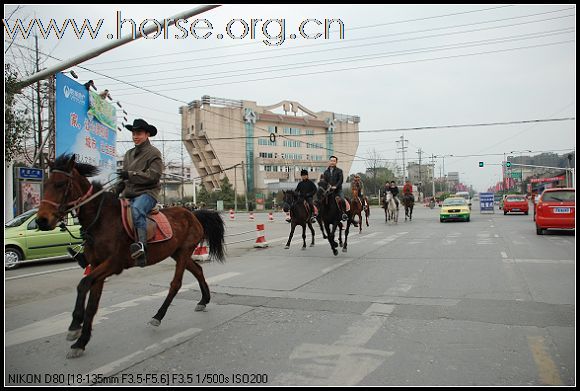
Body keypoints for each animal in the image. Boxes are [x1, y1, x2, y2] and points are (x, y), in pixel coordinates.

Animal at [34, 155, 224, 360]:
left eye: (60, 184)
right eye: (45, 184)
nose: (41, 220)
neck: (101, 220)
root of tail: (192, 213)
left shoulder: (113, 264)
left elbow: (83, 284)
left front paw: (75, 326)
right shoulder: (97, 265)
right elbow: (92, 303)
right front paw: (81, 342)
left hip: (183, 252)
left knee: (176, 284)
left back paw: (158, 316)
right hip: (177, 252)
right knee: (198, 270)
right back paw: (203, 300)